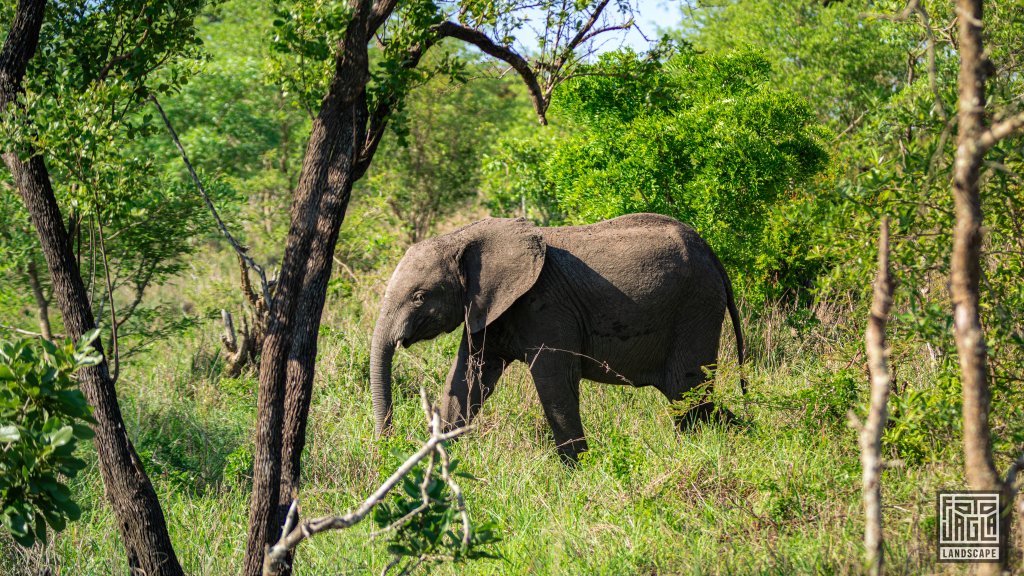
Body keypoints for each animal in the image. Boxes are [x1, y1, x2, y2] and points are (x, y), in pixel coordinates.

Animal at [368, 212, 745, 461]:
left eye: (420, 296)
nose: (387, 444)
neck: (464, 237)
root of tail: (711, 253)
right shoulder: (487, 307)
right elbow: (467, 378)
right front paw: (438, 460)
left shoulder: (545, 307)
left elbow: (554, 383)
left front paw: (578, 472)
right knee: (693, 399)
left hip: (695, 306)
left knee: (689, 395)